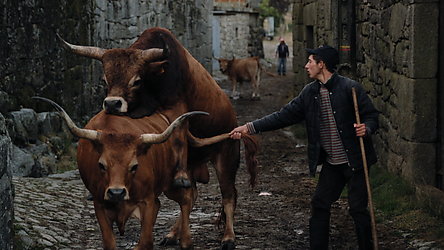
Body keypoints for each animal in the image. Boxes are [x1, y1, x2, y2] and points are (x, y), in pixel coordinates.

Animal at [57, 26, 258, 249]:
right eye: (104, 79)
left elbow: (178, 138)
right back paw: (172, 234)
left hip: (226, 156)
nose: (111, 104)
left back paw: (228, 237)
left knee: (228, 196)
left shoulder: (177, 110)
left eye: (136, 80)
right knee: (192, 195)